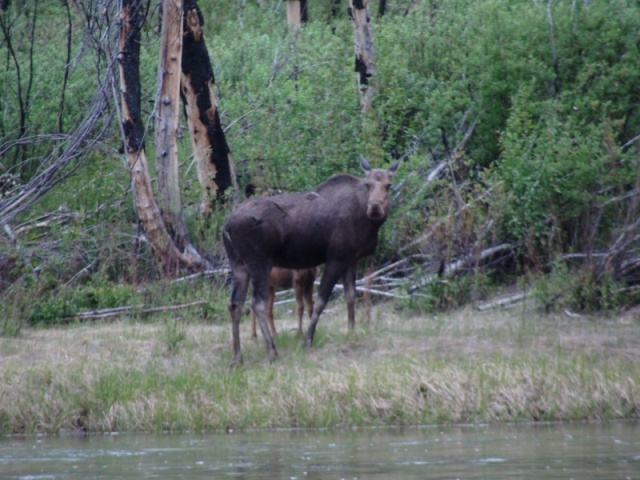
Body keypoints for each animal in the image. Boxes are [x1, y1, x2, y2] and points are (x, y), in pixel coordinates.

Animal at [222, 158, 398, 364]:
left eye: (388, 185)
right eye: (367, 184)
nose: (375, 208)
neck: (369, 224)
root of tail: (227, 225)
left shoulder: (351, 259)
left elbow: (350, 296)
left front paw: (351, 333)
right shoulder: (336, 258)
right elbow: (320, 301)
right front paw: (307, 339)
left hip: (238, 264)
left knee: (235, 304)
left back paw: (237, 357)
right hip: (259, 262)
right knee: (257, 303)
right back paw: (272, 351)